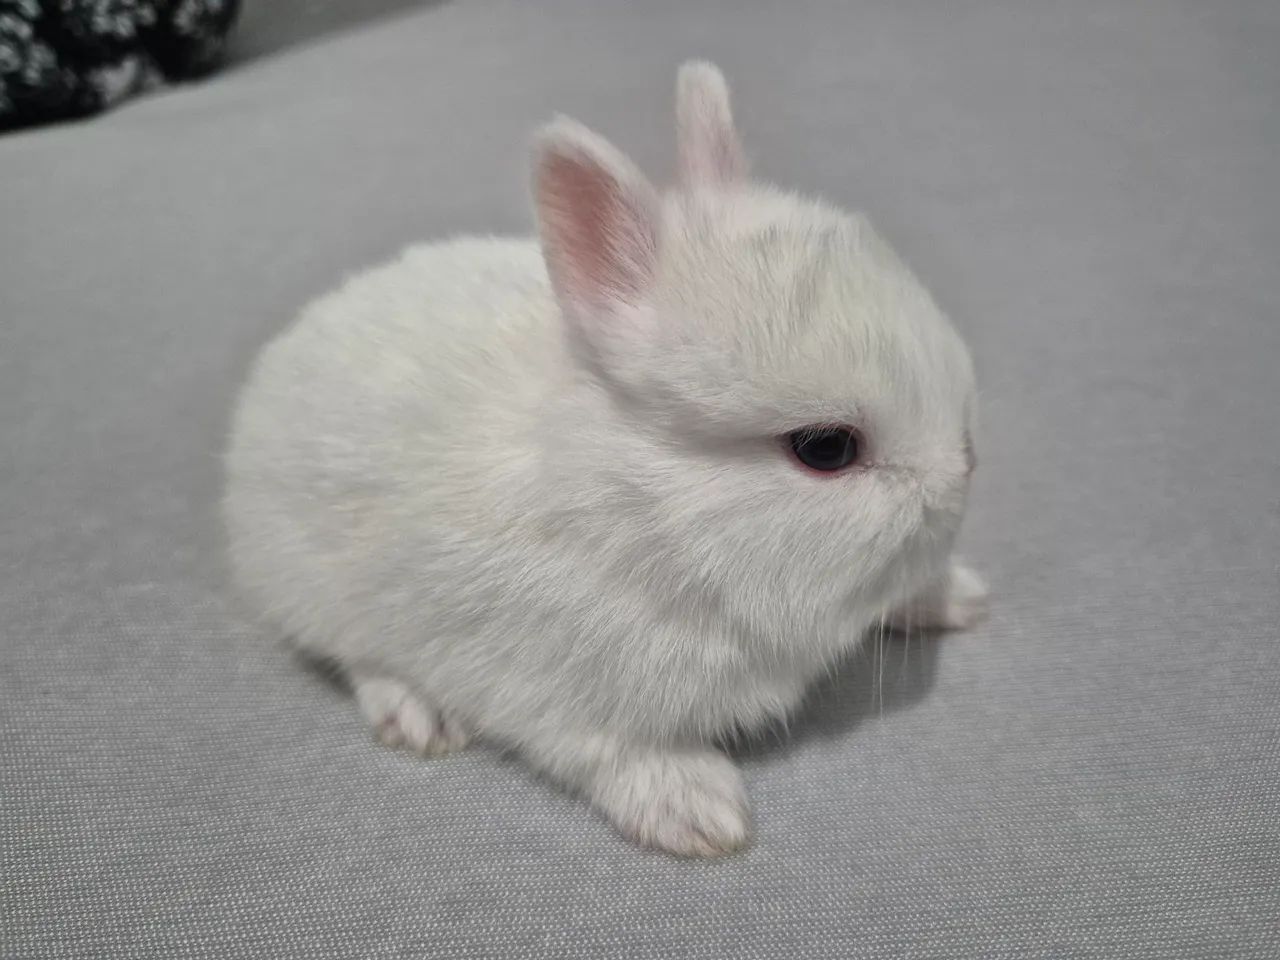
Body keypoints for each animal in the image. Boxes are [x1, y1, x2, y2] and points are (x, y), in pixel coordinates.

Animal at [223, 61, 988, 857]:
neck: (647, 510)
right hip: (318, 590)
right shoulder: (553, 691)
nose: (965, 470)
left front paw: (956, 595)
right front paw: (701, 812)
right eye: (826, 449)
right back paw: (417, 716)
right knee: (358, 656)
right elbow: (613, 751)